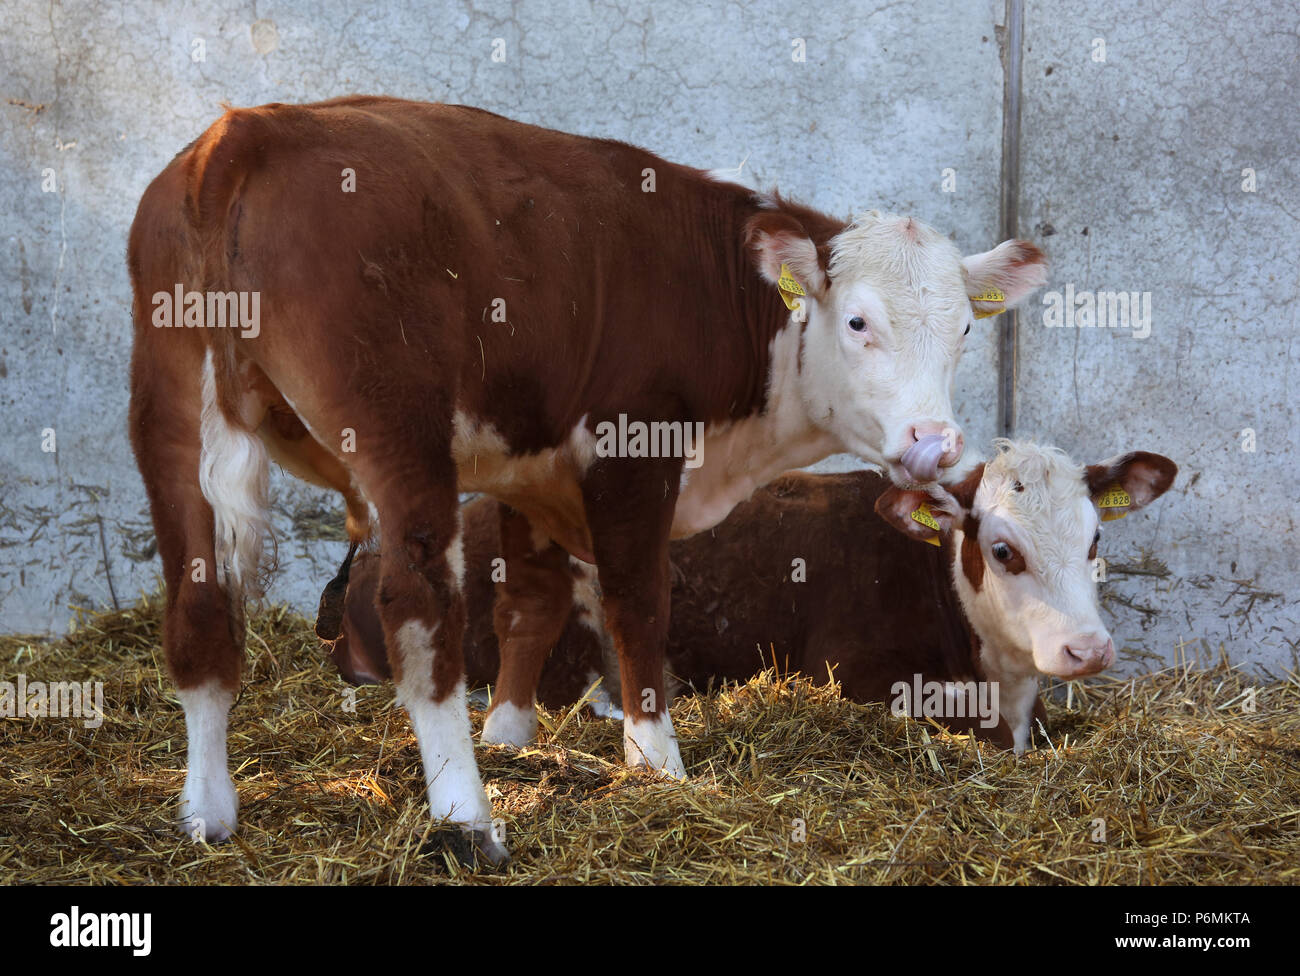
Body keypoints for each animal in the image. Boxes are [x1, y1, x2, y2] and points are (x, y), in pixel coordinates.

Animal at [129, 95, 1045, 857]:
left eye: (966, 330)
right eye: (857, 321)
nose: (934, 442)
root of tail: (242, 135)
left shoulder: (528, 472)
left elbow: (529, 606)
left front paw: (509, 733)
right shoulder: (633, 449)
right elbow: (636, 602)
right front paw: (655, 758)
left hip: (171, 414)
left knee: (198, 609)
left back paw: (207, 815)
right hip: (397, 428)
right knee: (419, 616)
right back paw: (466, 819)